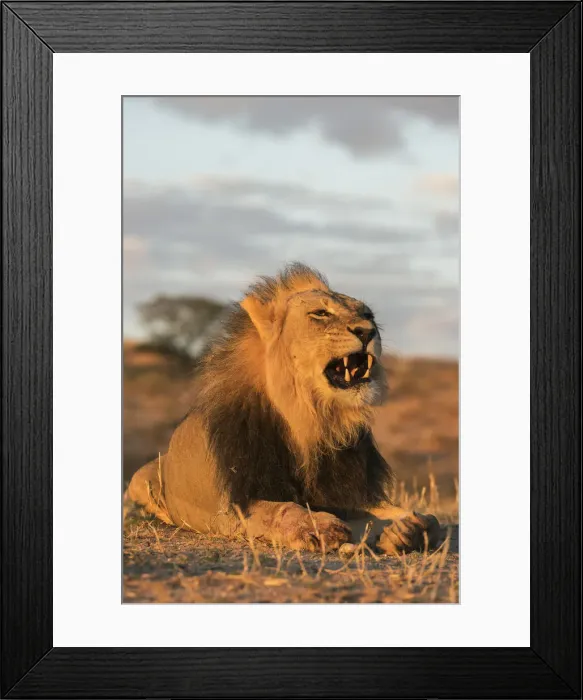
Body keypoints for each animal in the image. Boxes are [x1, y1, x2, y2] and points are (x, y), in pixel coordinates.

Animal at [126, 263, 441, 554]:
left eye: (368, 315)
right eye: (321, 314)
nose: (368, 331)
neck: (311, 420)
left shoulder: (347, 495)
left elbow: (415, 516)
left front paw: (406, 528)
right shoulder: (233, 507)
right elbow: (280, 508)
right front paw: (317, 527)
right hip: (140, 479)